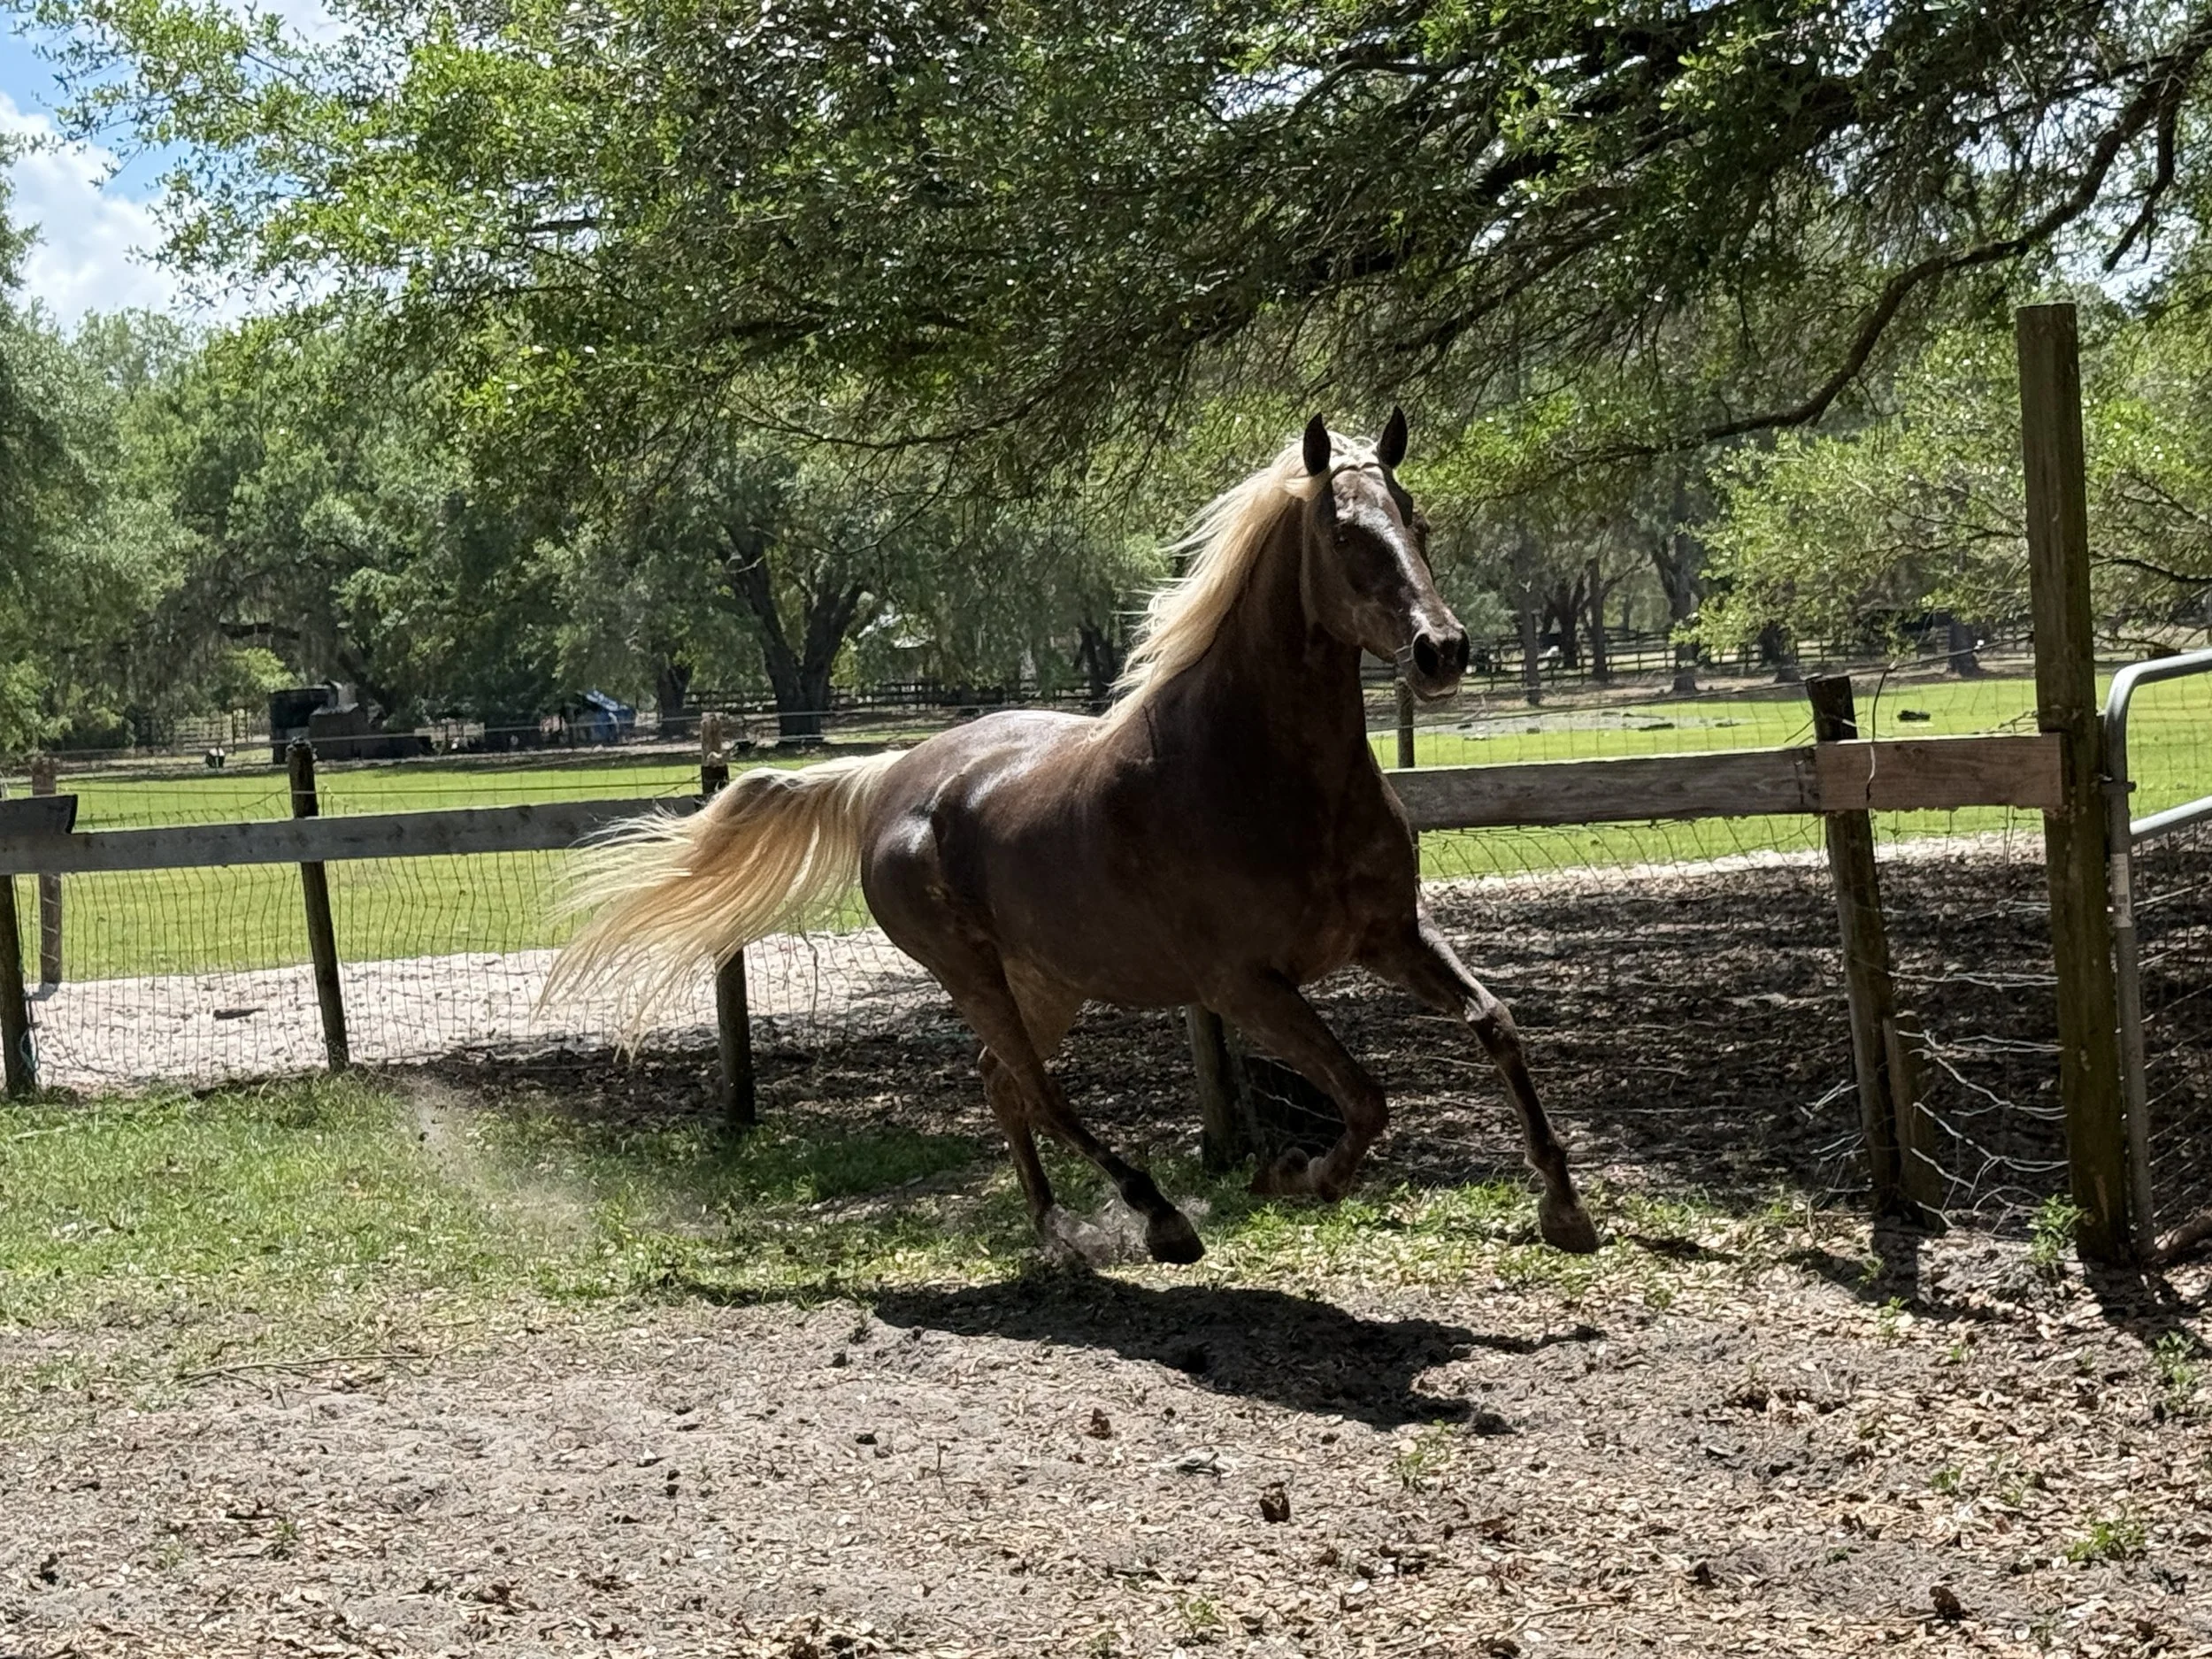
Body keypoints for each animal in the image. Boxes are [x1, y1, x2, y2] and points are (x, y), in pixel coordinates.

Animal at [549, 412, 1600, 1265]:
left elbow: (1495, 1022)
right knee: (1039, 1089)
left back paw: (1056, 1228)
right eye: (1345, 534)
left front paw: (1563, 1209)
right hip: (974, 975)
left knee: (1003, 1082)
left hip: (1048, 978)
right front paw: (1294, 1177)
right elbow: (1367, 1096)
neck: (1259, 772)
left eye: (1416, 522)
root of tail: (890, 778)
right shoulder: (1246, 987)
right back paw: (1158, 1218)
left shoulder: (1391, 937)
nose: (1442, 651)